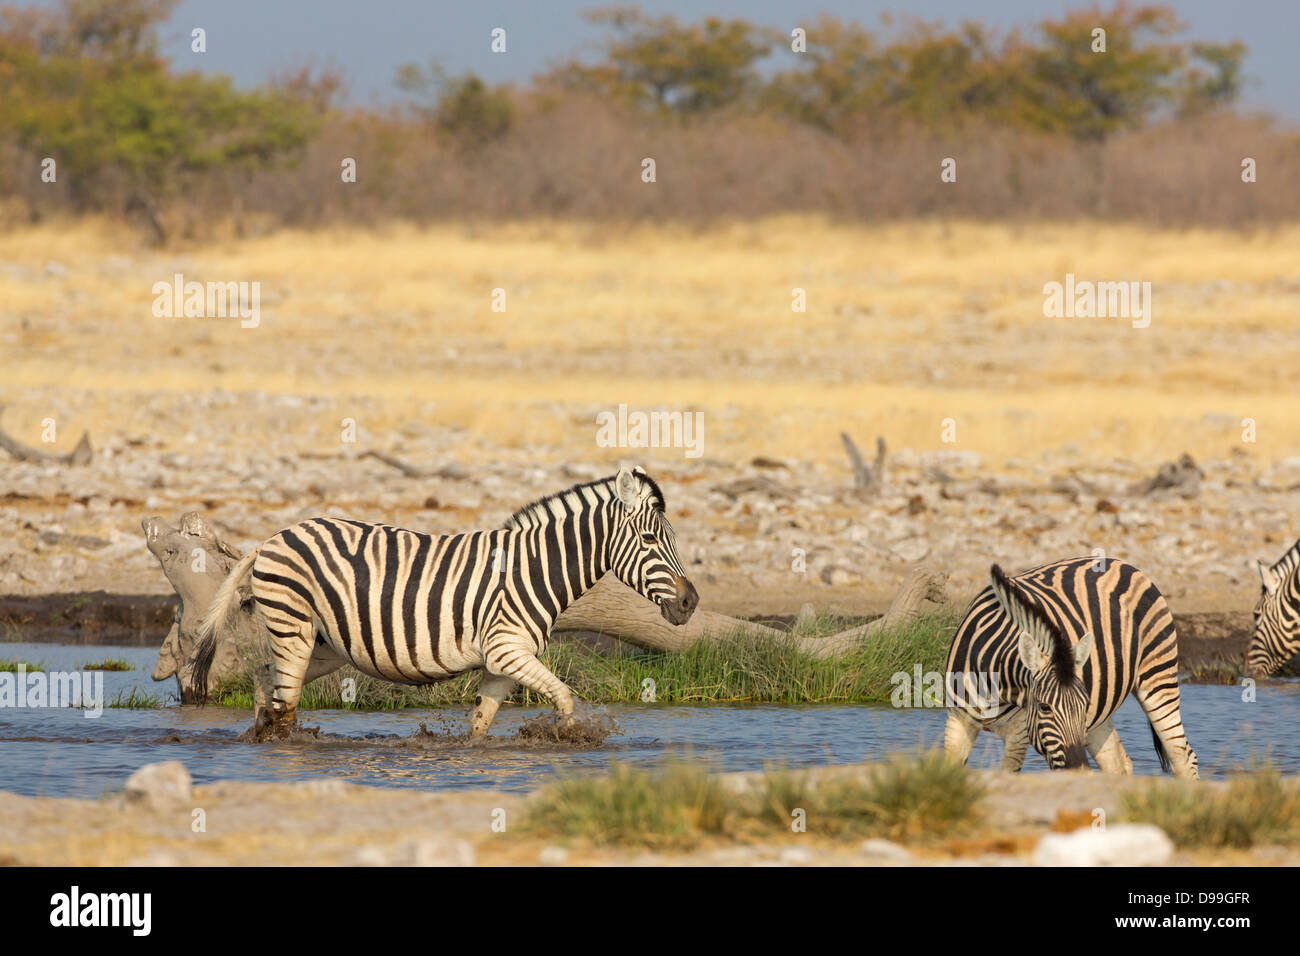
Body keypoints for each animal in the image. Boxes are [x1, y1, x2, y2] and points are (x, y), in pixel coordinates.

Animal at [188, 468, 696, 738]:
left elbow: (480, 723)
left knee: (264, 679)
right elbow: (566, 697)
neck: (535, 568)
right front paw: (566, 740)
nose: (690, 602)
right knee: (286, 703)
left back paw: (258, 737)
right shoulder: (507, 650)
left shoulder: (501, 662)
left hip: (325, 645)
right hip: (294, 627)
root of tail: (271, 538)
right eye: (651, 539)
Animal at [946, 561, 1196, 780]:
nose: (1079, 772)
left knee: (1183, 757)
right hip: (1100, 719)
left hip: (1158, 677)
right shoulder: (958, 720)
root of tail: (1123, 564)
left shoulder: (1018, 734)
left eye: (1083, 705)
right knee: (1119, 764)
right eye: (1044, 707)